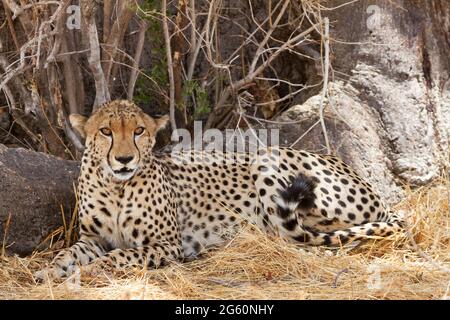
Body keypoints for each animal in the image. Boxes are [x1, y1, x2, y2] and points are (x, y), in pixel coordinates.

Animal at [34, 100, 404, 280]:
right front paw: (49, 271)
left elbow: (121, 255)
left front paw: (91, 271)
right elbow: (68, 254)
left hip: (269, 158)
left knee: (305, 238)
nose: (124, 159)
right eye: (106, 131)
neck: (116, 185)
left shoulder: (168, 245)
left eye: (139, 130)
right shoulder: (93, 239)